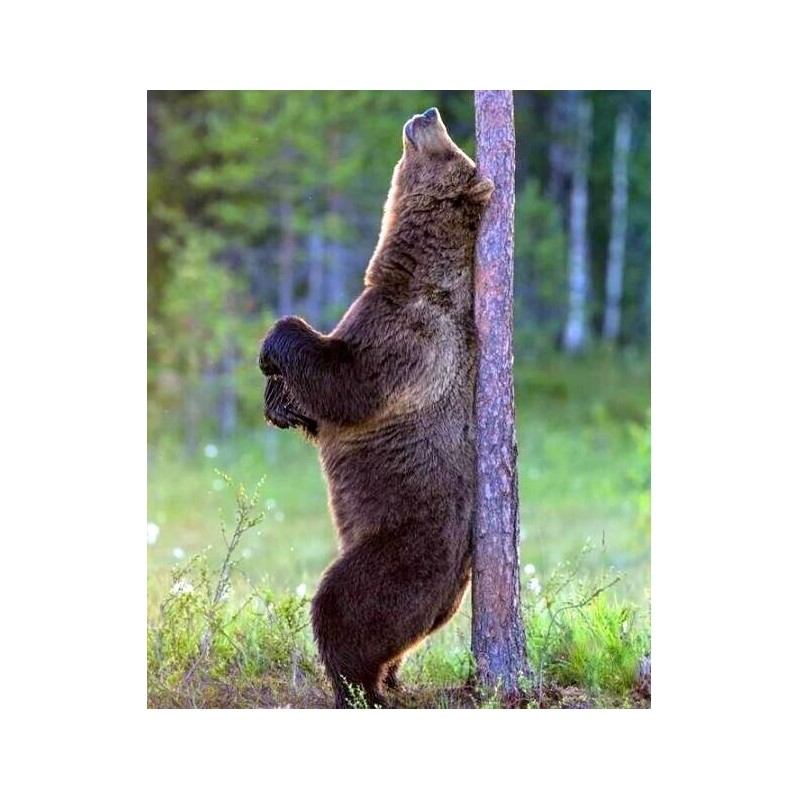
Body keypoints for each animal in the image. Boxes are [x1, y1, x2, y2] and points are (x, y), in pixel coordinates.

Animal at [259, 107, 493, 707]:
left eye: (451, 149)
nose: (428, 112)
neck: (409, 275)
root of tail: (454, 588)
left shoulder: (407, 340)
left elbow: (347, 381)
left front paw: (274, 349)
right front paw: (280, 405)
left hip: (400, 547)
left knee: (345, 606)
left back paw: (356, 686)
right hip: (428, 601)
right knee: (398, 639)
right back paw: (389, 678)